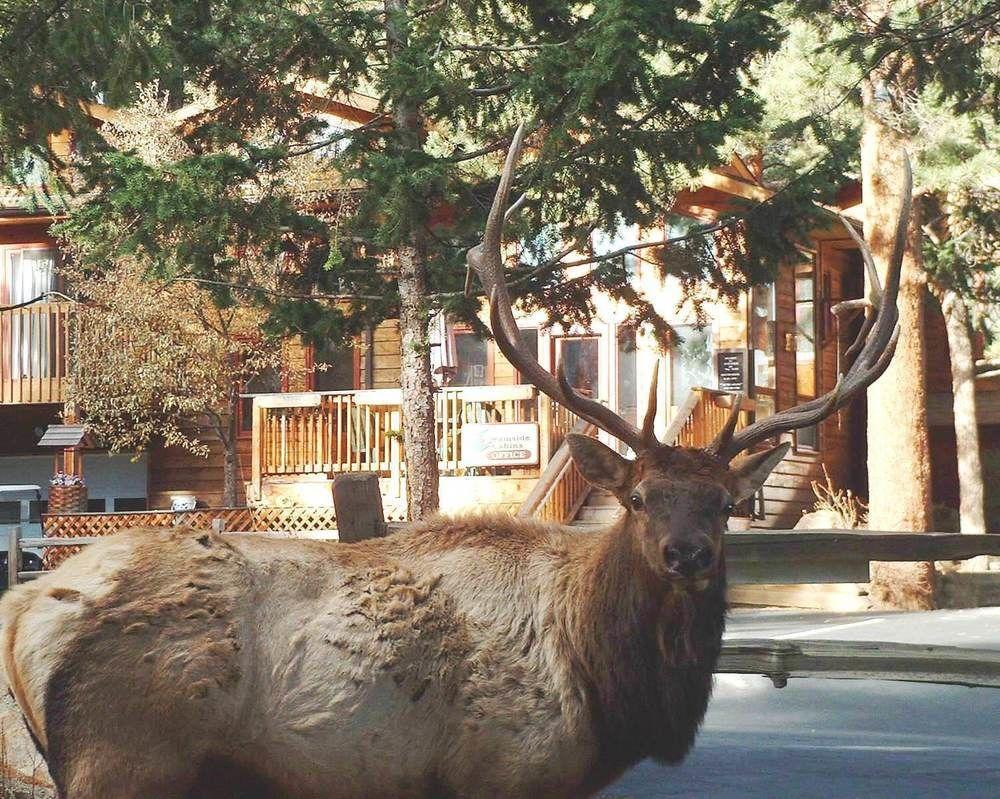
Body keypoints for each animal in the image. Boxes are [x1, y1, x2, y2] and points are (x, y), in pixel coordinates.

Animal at [0, 126, 908, 799]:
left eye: (722, 501)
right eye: (643, 496)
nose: (687, 553)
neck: (608, 686)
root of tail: (23, 612)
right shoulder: (506, 768)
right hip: (125, 759)